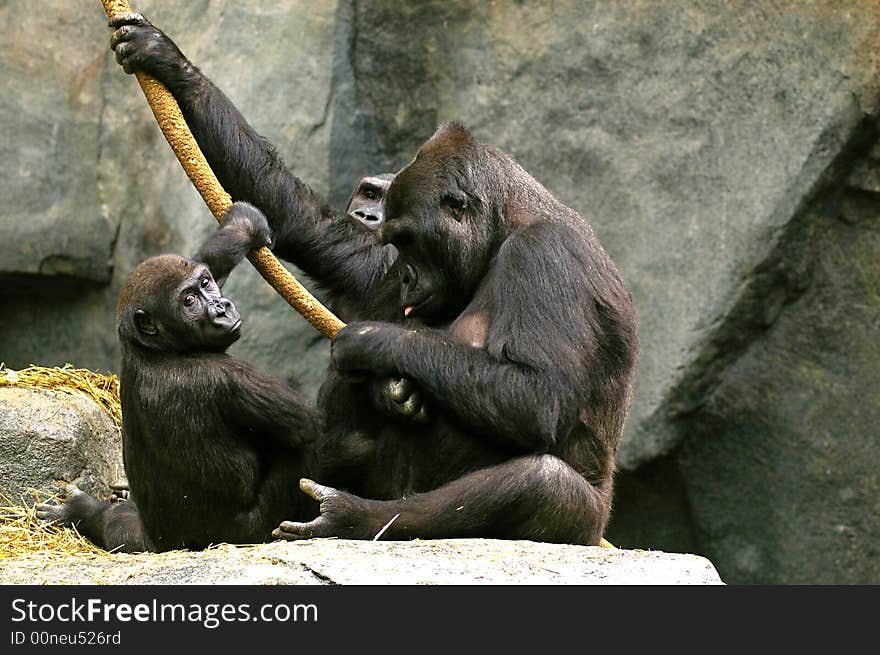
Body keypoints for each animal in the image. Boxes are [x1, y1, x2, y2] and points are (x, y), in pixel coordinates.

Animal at [38, 202, 320, 552]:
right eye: (188, 302)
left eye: (205, 284)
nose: (221, 308)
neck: (158, 349)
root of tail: (166, 544)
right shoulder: (224, 375)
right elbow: (308, 422)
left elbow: (204, 258)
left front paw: (241, 227)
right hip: (246, 535)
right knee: (300, 445)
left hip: (143, 537)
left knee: (118, 525)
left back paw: (86, 513)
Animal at [111, 16, 640, 548]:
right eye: (395, 243)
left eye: (408, 239)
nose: (404, 276)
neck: (505, 226)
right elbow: (310, 224)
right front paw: (168, 61)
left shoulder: (544, 253)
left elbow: (538, 398)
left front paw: (372, 342)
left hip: (585, 525)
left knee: (542, 483)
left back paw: (352, 516)